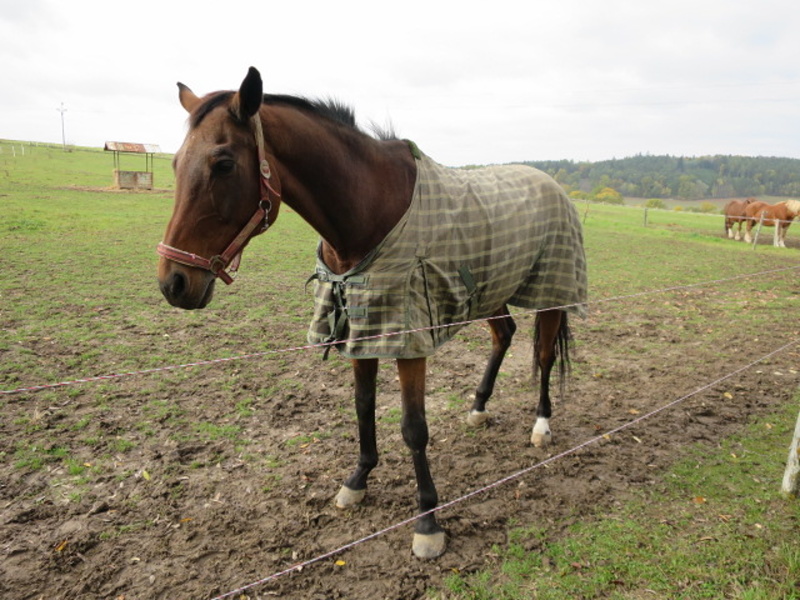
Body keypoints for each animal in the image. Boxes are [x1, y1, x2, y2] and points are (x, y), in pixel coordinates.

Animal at [157, 67, 587, 559]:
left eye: (224, 164)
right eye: (175, 164)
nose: (174, 283)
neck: (367, 208)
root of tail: (553, 185)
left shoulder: (407, 338)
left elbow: (414, 427)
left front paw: (427, 520)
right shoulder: (358, 326)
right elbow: (363, 406)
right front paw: (358, 480)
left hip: (553, 290)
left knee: (544, 356)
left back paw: (541, 425)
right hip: (491, 290)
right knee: (505, 334)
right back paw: (478, 408)